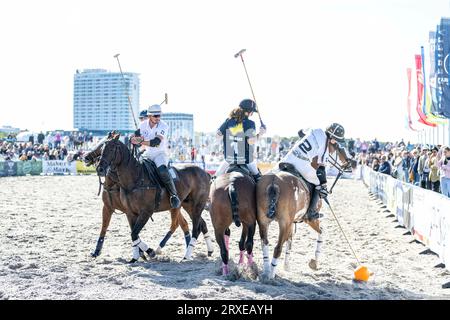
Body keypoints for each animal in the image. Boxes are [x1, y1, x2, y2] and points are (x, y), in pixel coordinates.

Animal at [256, 144, 356, 278]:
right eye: (341, 148)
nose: (353, 163)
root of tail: (273, 182)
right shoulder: (310, 220)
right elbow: (321, 232)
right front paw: (314, 262)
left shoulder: (291, 222)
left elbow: (289, 241)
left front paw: (286, 266)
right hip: (284, 222)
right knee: (277, 248)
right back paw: (271, 275)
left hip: (264, 221)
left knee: (265, 243)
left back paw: (266, 271)